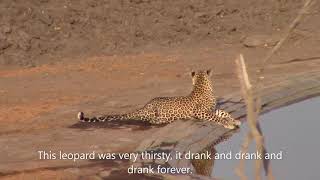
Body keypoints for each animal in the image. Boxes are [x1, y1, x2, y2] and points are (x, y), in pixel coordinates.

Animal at [77, 69, 241, 129]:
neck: (201, 85)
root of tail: (145, 105)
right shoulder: (200, 112)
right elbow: (217, 117)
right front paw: (228, 124)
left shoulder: (213, 109)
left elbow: (224, 113)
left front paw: (234, 120)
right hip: (152, 113)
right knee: (150, 120)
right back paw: (161, 121)